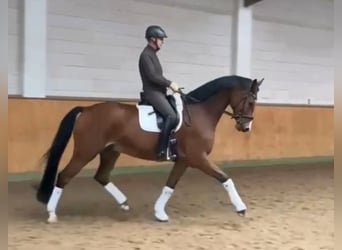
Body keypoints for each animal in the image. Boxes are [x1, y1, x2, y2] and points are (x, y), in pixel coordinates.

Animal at [36, 74, 264, 223]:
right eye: (251, 100)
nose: (245, 127)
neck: (200, 113)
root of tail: (86, 110)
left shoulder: (184, 160)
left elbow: (170, 185)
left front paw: (159, 213)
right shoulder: (198, 158)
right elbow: (225, 178)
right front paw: (241, 209)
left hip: (110, 151)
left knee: (101, 176)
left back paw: (124, 203)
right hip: (85, 151)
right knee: (65, 176)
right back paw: (51, 214)